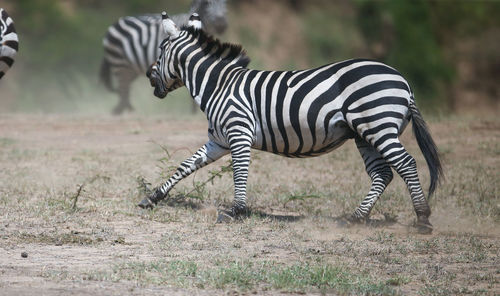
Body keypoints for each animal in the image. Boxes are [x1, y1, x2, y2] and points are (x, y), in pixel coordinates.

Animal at [100, 0, 229, 114]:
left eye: (225, 2)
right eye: (206, 3)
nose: (221, 25)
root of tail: (115, 23)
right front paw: (195, 112)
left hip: (130, 69)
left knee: (125, 89)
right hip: (120, 64)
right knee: (123, 89)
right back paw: (124, 112)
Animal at [139, 12, 444, 235]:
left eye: (161, 50)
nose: (147, 74)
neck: (219, 86)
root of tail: (404, 82)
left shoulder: (239, 132)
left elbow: (239, 173)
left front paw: (236, 211)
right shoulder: (219, 140)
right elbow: (185, 166)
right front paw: (153, 197)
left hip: (378, 126)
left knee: (406, 165)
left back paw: (422, 219)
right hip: (364, 133)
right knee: (382, 174)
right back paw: (354, 218)